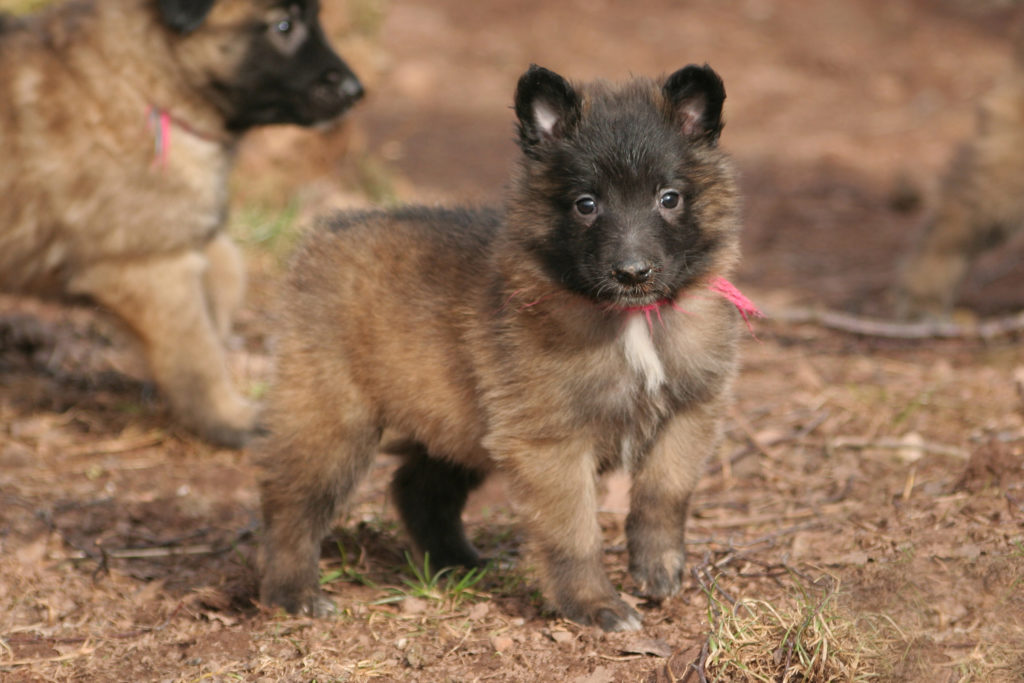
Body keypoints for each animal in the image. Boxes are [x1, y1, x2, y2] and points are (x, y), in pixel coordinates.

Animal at [0, 1, 366, 448]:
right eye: (284, 25)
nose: (355, 90)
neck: (144, 85)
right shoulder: (150, 267)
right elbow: (197, 353)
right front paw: (231, 418)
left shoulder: (182, 236)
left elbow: (226, 277)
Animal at [256, 63, 753, 630]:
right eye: (586, 204)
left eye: (669, 198)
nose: (633, 272)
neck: (631, 320)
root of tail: (325, 235)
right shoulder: (550, 442)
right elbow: (574, 533)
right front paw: (594, 605)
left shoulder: (691, 412)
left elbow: (665, 493)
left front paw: (658, 568)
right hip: (331, 420)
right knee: (290, 502)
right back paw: (293, 591)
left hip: (454, 419)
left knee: (418, 489)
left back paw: (456, 564)